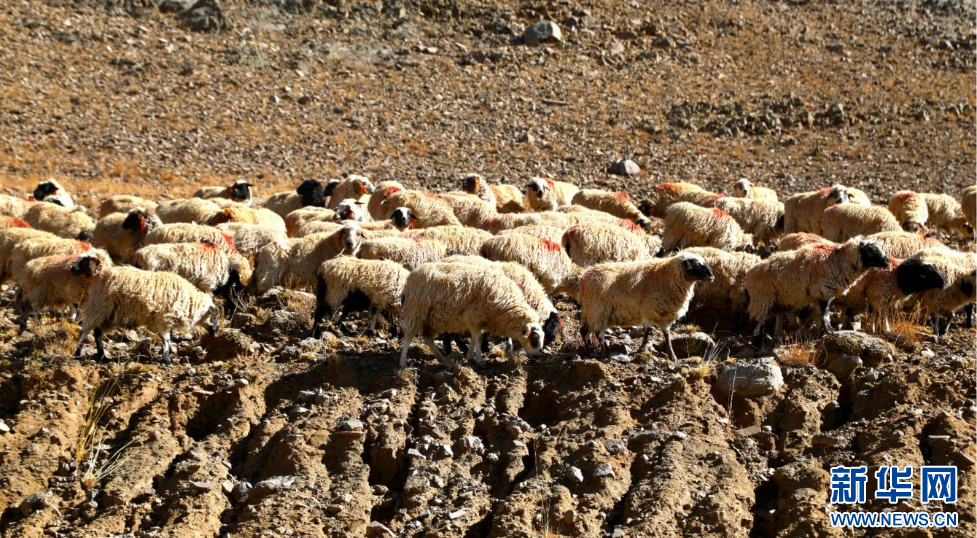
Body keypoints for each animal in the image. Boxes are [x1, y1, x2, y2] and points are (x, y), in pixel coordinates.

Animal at [71, 257, 218, 365]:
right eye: (214, 316)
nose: (216, 331)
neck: (191, 303)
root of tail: (96, 275)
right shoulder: (164, 319)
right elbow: (167, 339)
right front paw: (167, 360)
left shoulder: (165, 320)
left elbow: (166, 338)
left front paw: (166, 357)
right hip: (99, 307)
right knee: (86, 331)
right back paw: (78, 353)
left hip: (107, 314)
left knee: (97, 333)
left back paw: (103, 357)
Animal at [399, 262, 545, 368]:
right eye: (534, 338)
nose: (538, 356)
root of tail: (410, 277)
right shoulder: (474, 316)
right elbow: (478, 339)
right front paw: (480, 361)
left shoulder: (476, 321)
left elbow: (475, 338)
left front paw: (470, 357)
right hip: (416, 310)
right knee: (409, 335)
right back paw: (403, 362)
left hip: (432, 320)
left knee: (427, 338)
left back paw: (444, 361)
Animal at [578, 253, 715, 359]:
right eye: (695, 264)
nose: (712, 276)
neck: (667, 277)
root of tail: (584, 278)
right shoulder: (650, 309)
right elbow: (648, 331)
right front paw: (643, 348)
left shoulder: (663, 315)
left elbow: (666, 336)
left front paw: (672, 356)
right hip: (599, 310)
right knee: (598, 333)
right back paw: (605, 352)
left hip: (592, 312)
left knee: (584, 331)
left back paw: (591, 351)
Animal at [745, 238, 890, 340]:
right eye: (870, 251)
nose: (887, 262)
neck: (839, 261)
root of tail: (750, 273)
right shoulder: (822, 292)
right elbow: (825, 314)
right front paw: (829, 331)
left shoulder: (817, 296)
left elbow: (819, 315)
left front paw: (822, 331)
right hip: (762, 298)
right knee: (756, 320)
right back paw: (758, 339)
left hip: (778, 299)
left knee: (780, 315)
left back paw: (781, 334)